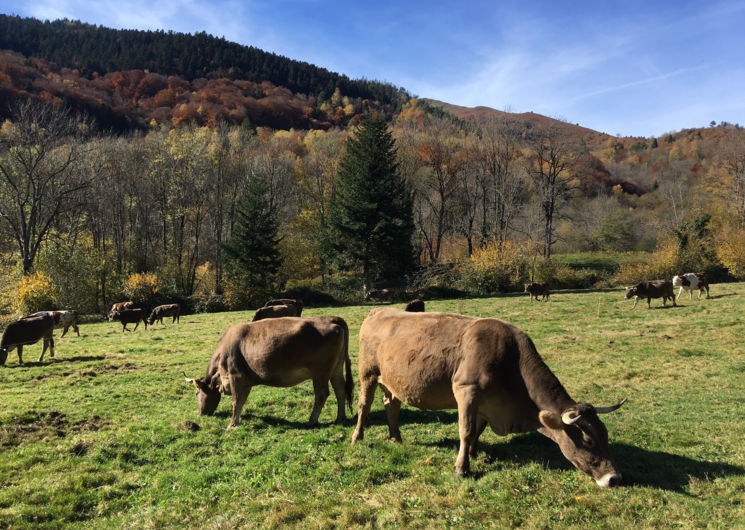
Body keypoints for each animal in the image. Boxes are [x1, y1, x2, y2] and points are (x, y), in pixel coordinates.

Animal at [182, 316, 352, 426]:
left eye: (197, 393)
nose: (200, 414)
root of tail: (330, 318)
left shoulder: (235, 377)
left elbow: (236, 401)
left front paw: (231, 425)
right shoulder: (246, 382)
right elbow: (241, 401)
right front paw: (237, 420)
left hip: (320, 371)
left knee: (322, 394)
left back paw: (312, 420)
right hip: (336, 368)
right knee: (340, 389)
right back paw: (340, 417)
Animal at [352, 308, 624, 484]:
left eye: (605, 434)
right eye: (587, 440)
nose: (614, 478)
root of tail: (378, 310)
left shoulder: (486, 403)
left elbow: (477, 431)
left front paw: (473, 454)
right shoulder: (466, 391)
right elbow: (466, 430)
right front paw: (462, 468)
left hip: (393, 382)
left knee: (391, 405)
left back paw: (396, 438)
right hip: (367, 373)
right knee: (364, 405)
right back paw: (357, 437)